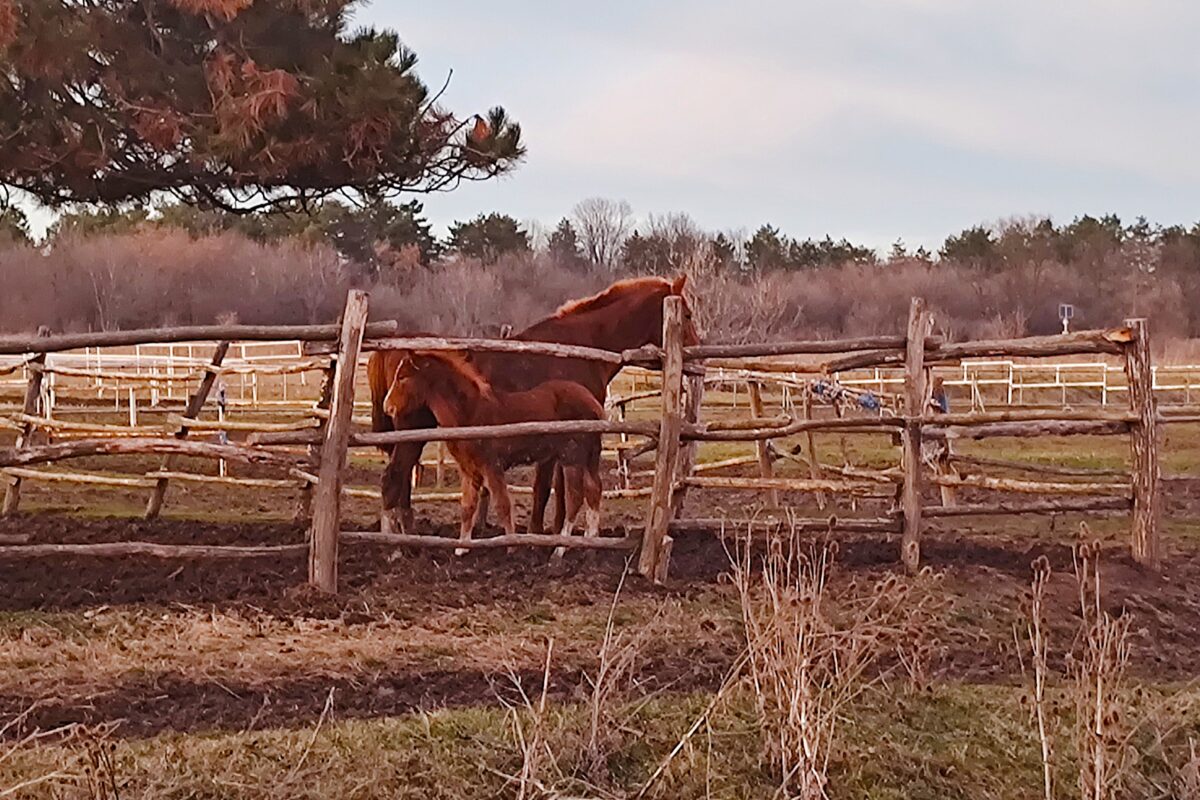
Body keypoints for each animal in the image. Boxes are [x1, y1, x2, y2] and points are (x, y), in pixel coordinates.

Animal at [384, 350, 604, 551]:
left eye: (402, 377)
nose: (388, 407)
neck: (470, 412)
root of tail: (593, 403)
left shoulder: (491, 465)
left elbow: (502, 505)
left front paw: (512, 546)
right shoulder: (469, 469)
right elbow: (467, 507)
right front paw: (462, 548)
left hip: (572, 457)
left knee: (575, 498)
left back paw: (560, 550)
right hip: (589, 457)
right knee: (594, 490)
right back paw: (590, 544)